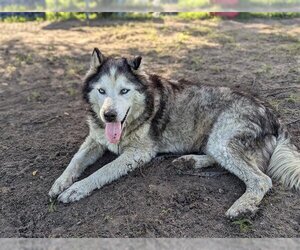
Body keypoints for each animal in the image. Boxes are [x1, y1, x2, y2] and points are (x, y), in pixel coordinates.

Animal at [49, 47, 300, 218]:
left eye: (124, 91)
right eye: (101, 91)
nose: (109, 115)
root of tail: (272, 112)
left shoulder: (139, 154)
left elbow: (103, 171)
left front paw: (76, 189)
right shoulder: (94, 140)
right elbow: (75, 161)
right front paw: (60, 183)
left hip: (222, 141)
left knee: (261, 179)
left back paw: (243, 206)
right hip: (216, 142)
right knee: (222, 161)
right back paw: (189, 162)